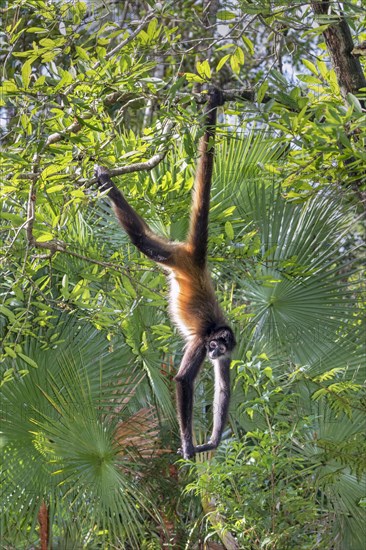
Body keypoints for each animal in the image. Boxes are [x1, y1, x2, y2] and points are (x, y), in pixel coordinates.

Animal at [94, 89, 236, 462]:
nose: (214, 352)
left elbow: (223, 386)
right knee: (141, 239)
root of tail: (196, 258)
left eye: (222, 347)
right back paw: (108, 183)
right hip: (170, 254)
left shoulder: (229, 351)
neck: (215, 329)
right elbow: (183, 381)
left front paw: (212, 440)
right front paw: (187, 442)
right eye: (212, 344)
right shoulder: (198, 341)